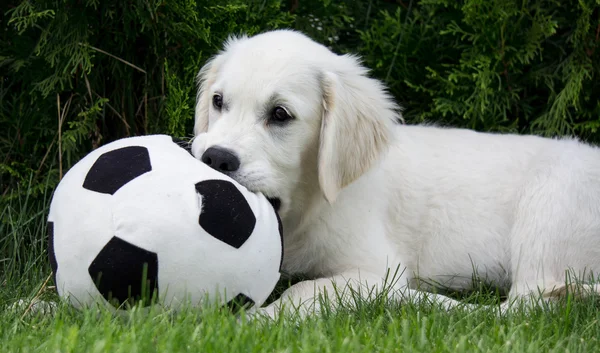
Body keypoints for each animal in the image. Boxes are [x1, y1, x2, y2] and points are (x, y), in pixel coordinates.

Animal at [191, 29, 600, 316]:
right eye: (218, 101)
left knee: (522, 306)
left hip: (549, 211)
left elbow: (303, 289)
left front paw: (256, 320)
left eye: (280, 114)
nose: (215, 158)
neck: (309, 204)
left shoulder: (376, 271)